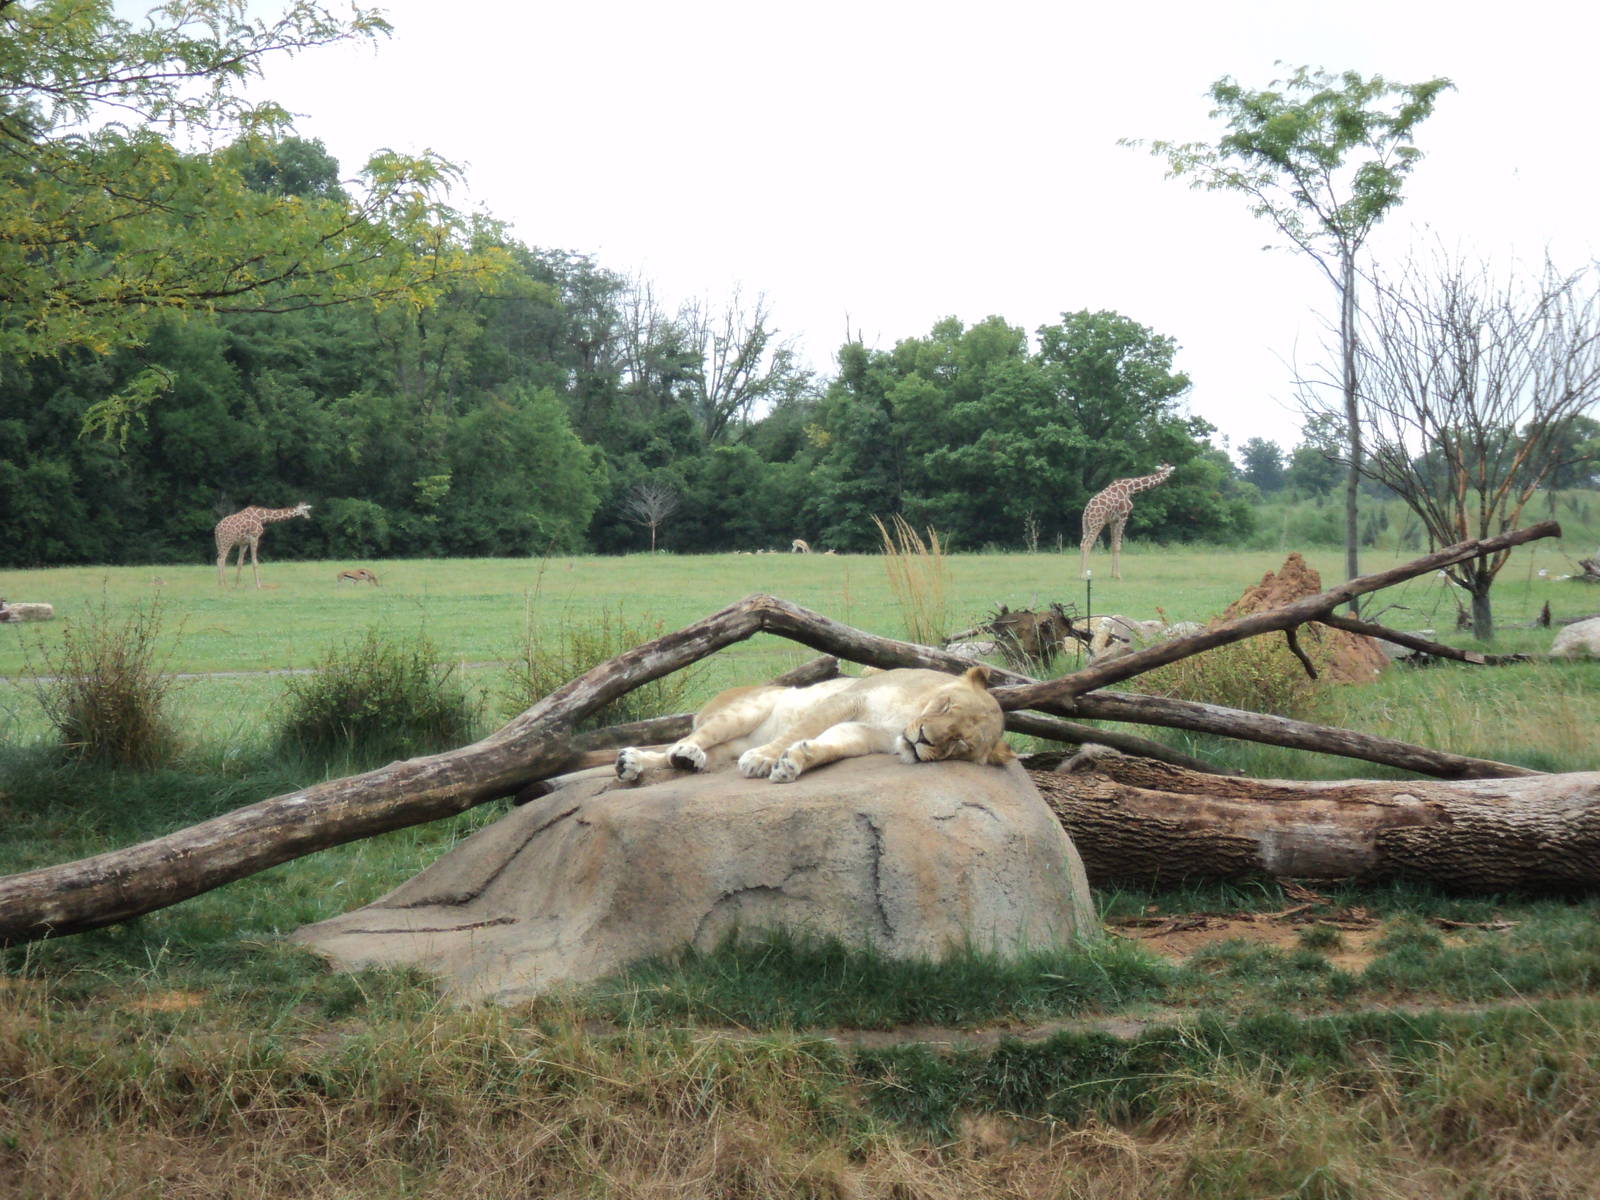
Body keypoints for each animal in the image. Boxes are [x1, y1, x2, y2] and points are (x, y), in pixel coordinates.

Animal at [616, 665, 1014, 785]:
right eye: (946, 705)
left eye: (960, 743)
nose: (922, 741)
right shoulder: (850, 698)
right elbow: (798, 730)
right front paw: (763, 760)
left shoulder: (862, 734)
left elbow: (828, 747)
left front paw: (793, 763)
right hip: (744, 711)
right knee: (682, 741)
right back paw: (656, 757)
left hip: (729, 746)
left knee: (677, 754)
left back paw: (662, 762)